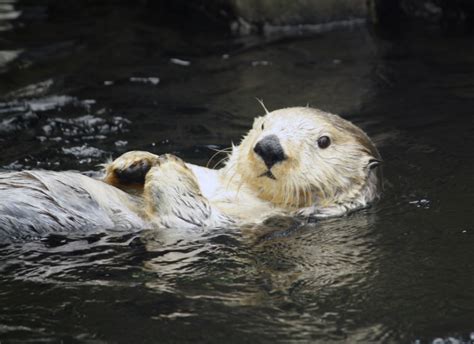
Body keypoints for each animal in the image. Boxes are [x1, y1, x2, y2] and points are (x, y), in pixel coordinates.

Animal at [0, 106, 382, 241]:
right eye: (264, 125)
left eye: (323, 141)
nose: (269, 147)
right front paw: (136, 160)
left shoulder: (229, 222)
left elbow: (186, 213)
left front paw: (168, 164)